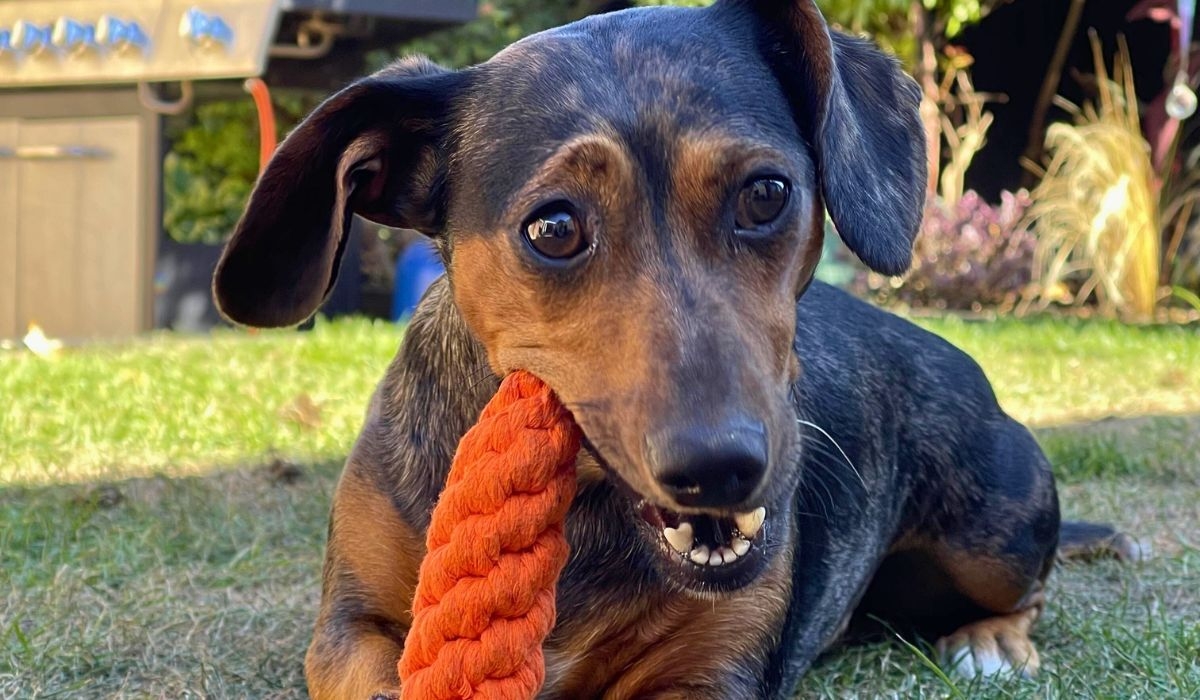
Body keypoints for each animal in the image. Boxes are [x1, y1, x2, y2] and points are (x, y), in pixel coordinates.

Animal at [211, 2, 1118, 696]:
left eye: (766, 193)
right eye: (553, 227)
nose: (720, 468)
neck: (583, 517)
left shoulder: (712, 673)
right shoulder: (346, 627)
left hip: (994, 531)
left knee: (1030, 585)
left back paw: (992, 640)